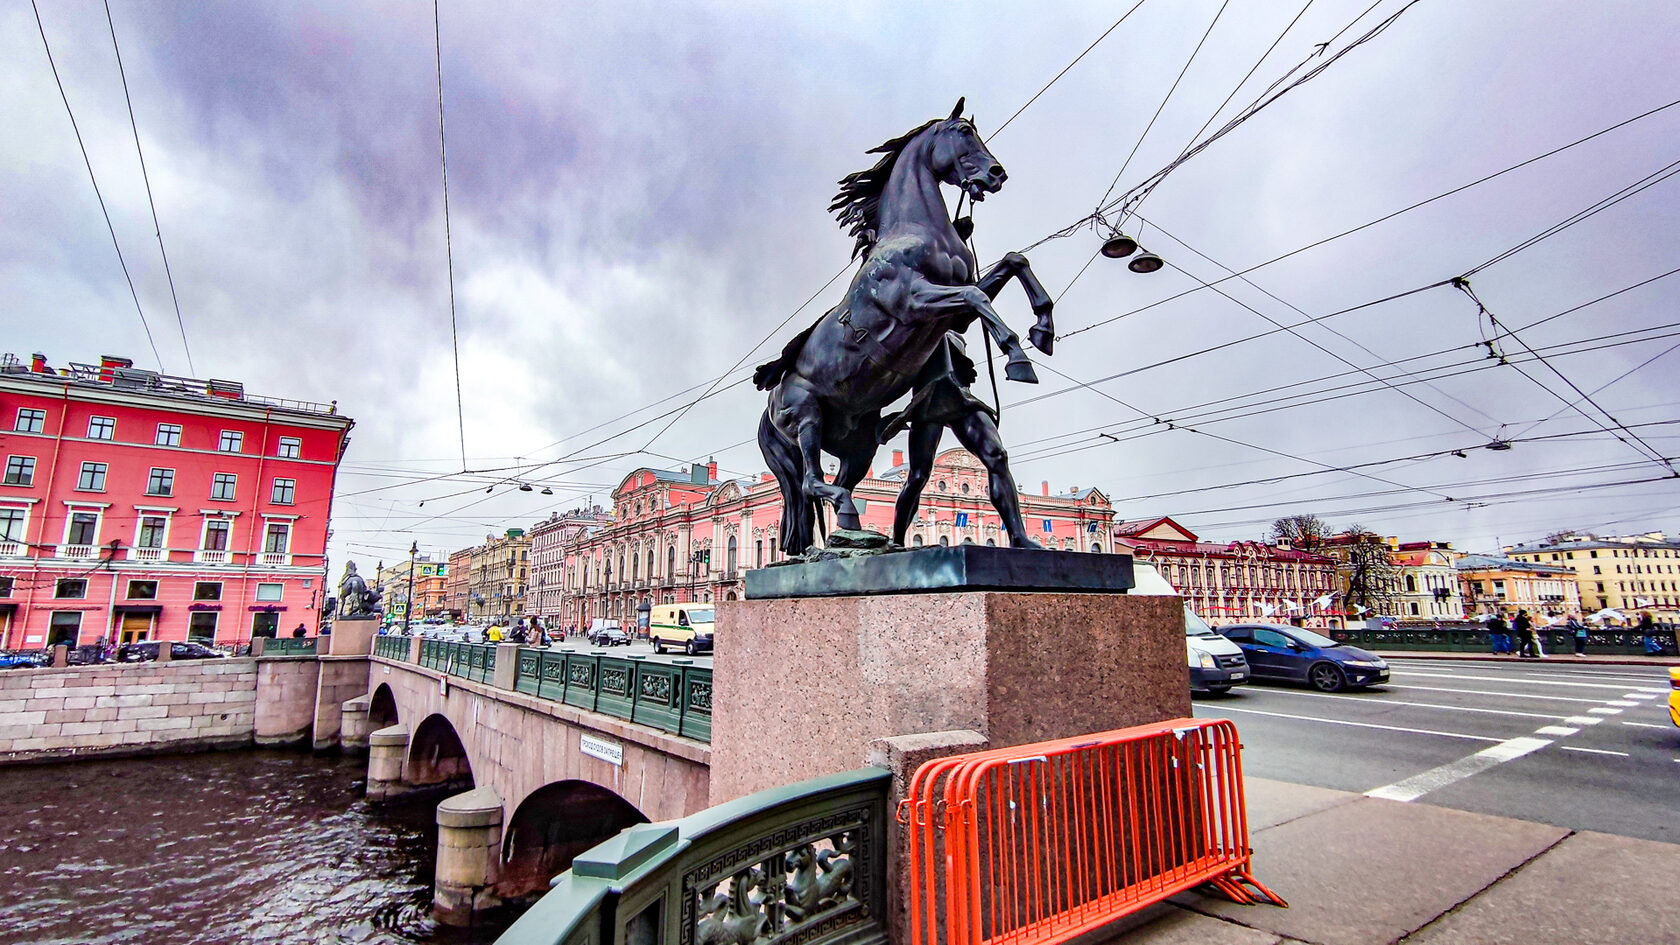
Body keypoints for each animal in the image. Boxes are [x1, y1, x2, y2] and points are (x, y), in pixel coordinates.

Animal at [759, 97, 1048, 551]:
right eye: (963, 133)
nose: (996, 173)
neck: (914, 233)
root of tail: (768, 403)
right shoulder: (914, 301)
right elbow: (978, 296)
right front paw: (1017, 356)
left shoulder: (955, 316)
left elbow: (1014, 261)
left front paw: (1044, 328)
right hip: (805, 417)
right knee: (810, 481)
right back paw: (849, 519)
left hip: (858, 446)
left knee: (836, 482)